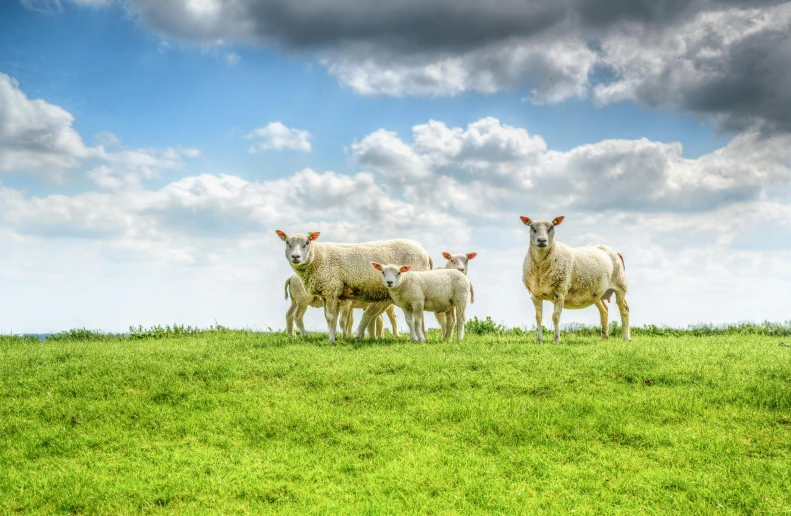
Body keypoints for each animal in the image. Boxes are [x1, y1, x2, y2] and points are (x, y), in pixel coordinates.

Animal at [274, 230, 434, 342]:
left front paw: (332, 340)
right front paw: (336, 337)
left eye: (306, 243)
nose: (295, 257)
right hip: (300, 299)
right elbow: (331, 317)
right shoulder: (328, 293)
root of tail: (425, 253)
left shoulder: (331, 289)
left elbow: (332, 317)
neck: (318, 257)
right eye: (287, 243)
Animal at [520, 216, 632, 344]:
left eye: (551, 227)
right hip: (597, 291)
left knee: (624, 310)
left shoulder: (560, 290)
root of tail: (615, 252)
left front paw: (557, 339)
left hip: (620, 285)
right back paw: (604, 337)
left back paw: (626, 338)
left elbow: (556, 316)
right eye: (532, 227)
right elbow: (538, 317)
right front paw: (539, 340)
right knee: (604, 310)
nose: (542, 240)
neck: (541, 266)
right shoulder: (535, 294)